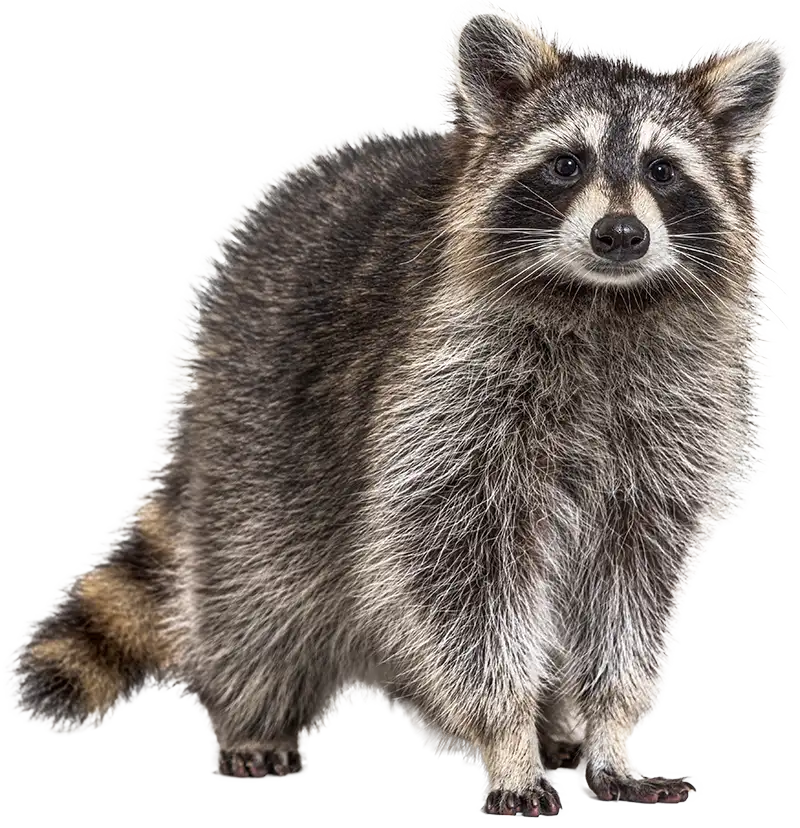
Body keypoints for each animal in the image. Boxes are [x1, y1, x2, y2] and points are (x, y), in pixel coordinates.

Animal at [11, 9, 784, 816]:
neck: (600, 302)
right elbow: (460, 574)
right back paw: (252, 709)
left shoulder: (670, 425)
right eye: (566, 165)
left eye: (664, 171)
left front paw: (608, 730)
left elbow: (629, 589)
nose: (621, 235)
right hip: (259, 414)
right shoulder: (445, 395)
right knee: (254, 582)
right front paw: (507, 736)